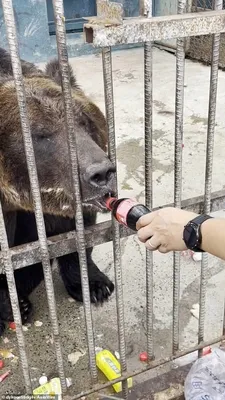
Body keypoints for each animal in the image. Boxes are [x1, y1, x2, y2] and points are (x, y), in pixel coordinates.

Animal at [0, 46, 116, 334]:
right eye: (40, 135)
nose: (101, 173)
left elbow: (75, 236)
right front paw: (12, 306)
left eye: (84, 122)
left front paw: (94, 285)